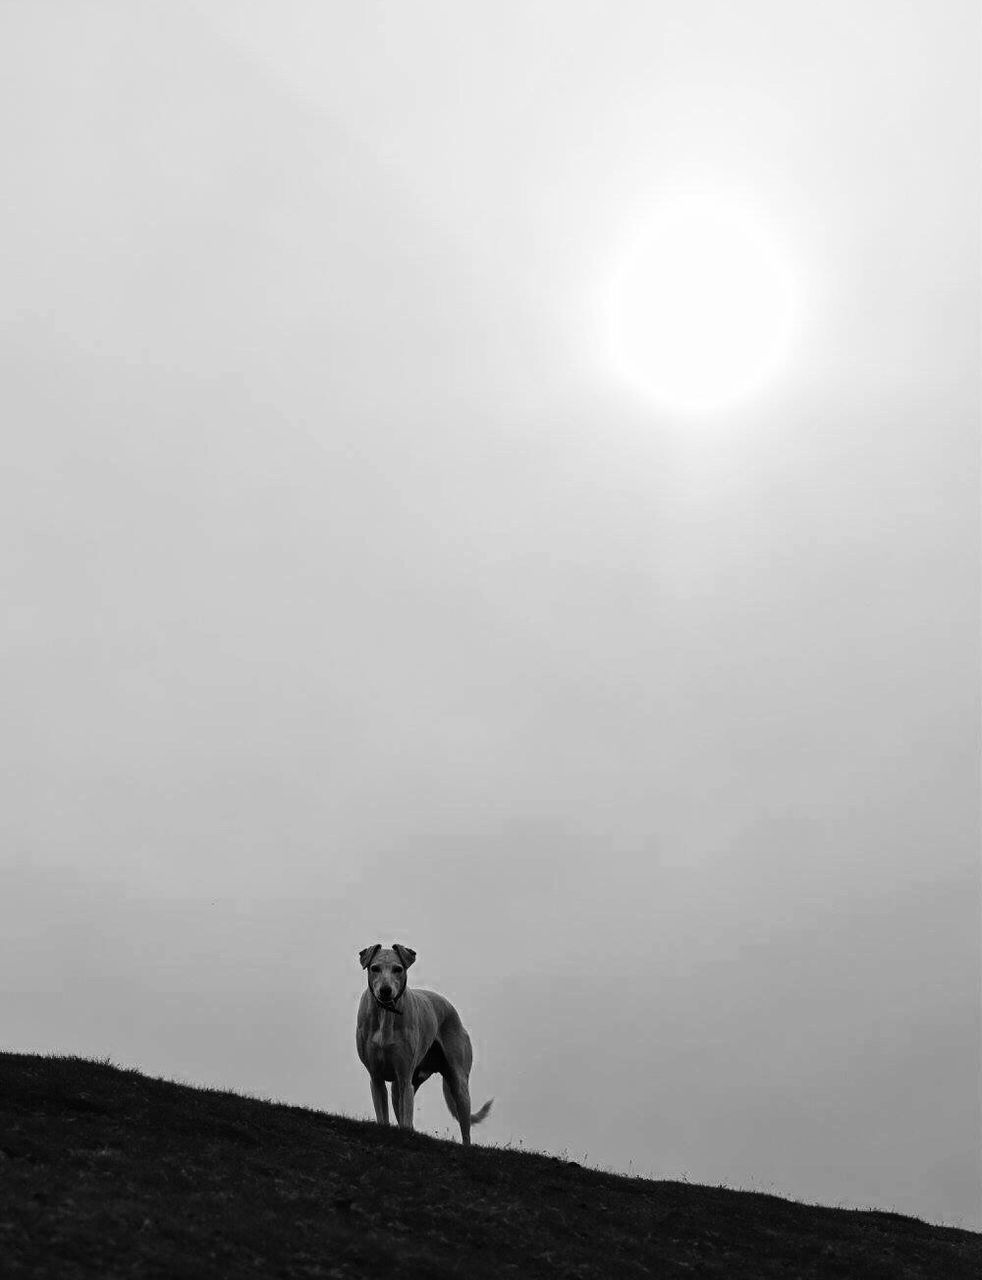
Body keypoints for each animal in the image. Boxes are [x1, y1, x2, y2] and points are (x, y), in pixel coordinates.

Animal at [355, 947, 496, 1146]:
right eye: (374, 968)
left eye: (398, 969)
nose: (385, 991)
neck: (386, 1014)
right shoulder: (376, 1077)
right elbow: (384, 1116)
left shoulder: (404, 1076)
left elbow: (406, 1118)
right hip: (402, 1085)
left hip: (458, 1082)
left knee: (465, 1127)